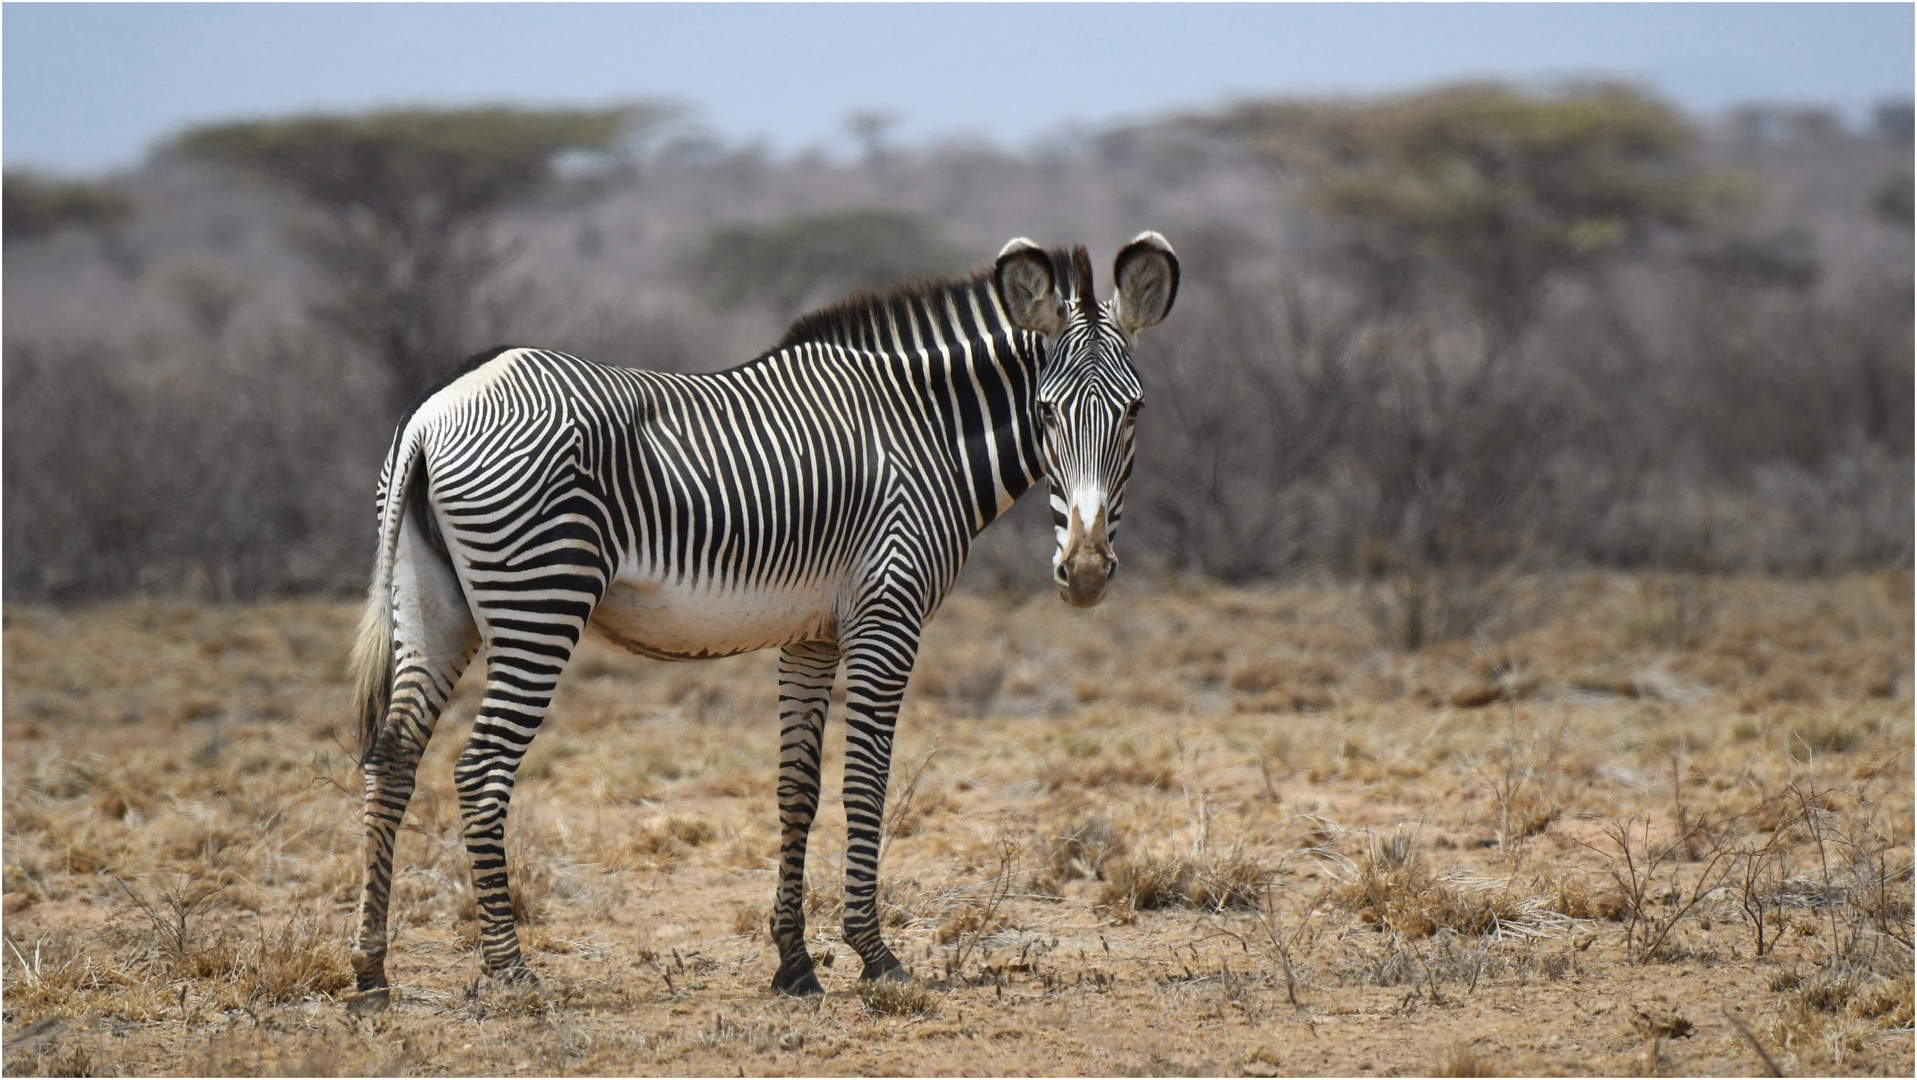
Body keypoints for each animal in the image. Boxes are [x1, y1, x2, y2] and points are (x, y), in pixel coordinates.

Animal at [350, 230, 1173, 1005]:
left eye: (1135, 411)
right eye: (1045, 410)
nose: (1086, 573)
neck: (923, 428)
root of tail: (433, 411)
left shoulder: (811, 637)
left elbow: (796, 789)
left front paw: (795, 963)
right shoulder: (887, 612)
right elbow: (865, 782)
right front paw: (875, 957)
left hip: (433, 607)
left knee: (392, 759)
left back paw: (370, 975)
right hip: (539, 600)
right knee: (480, 769)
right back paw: (510, 972)